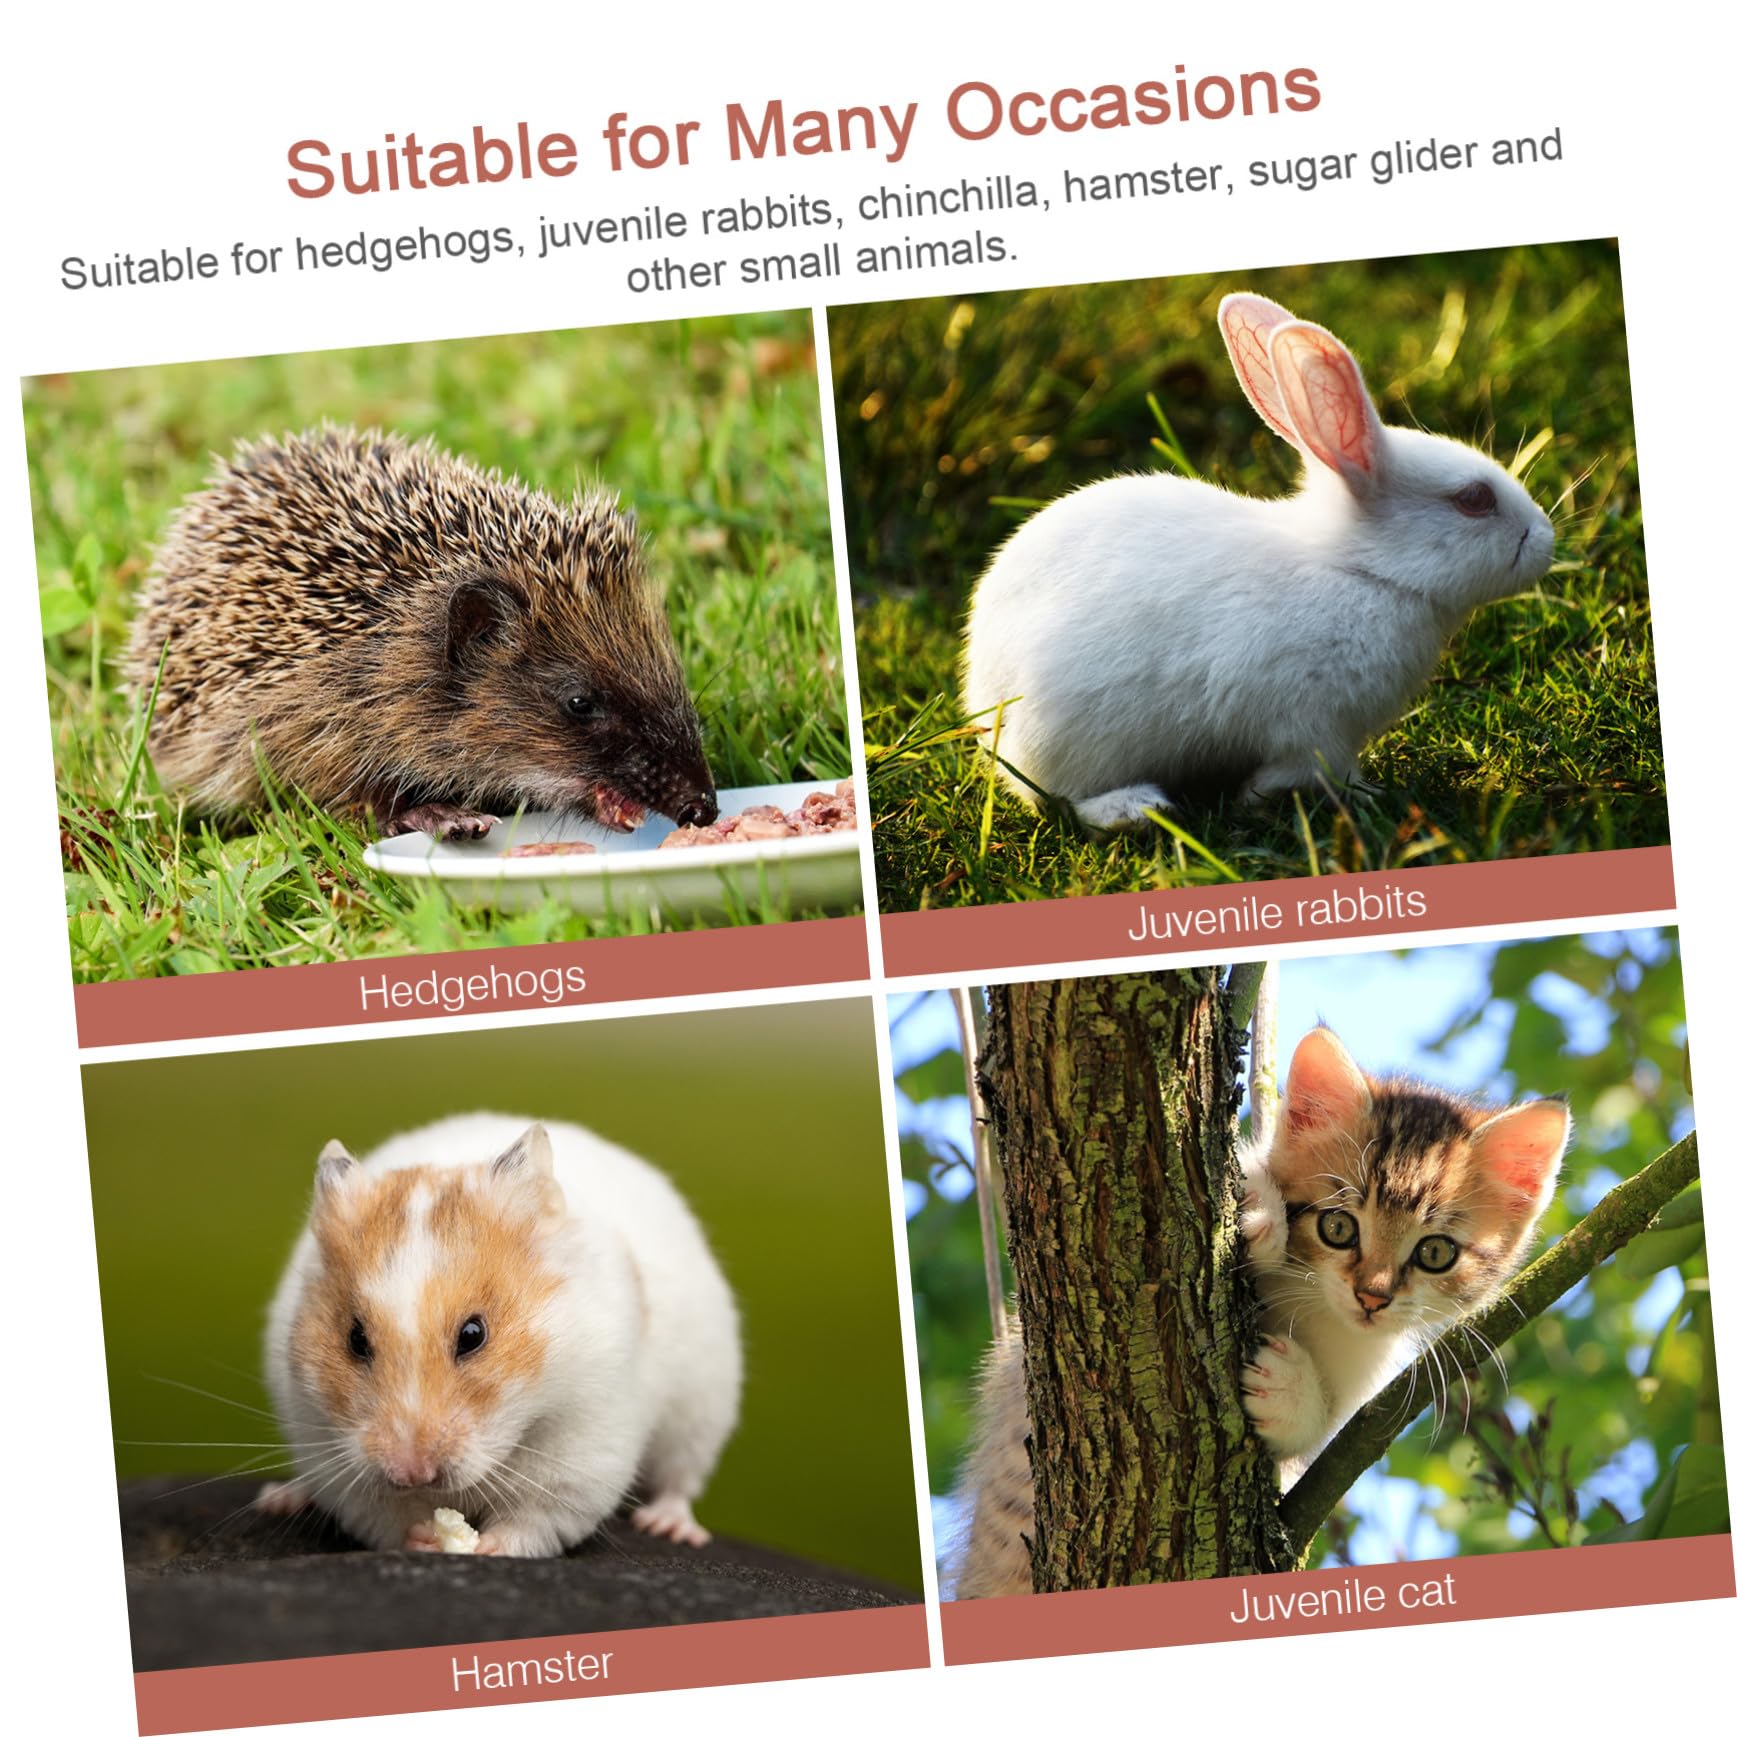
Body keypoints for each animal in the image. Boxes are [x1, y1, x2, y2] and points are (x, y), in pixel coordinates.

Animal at [257, 1112, 741, 1557]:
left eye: (474, 1334)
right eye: (355, 1339)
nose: (412, 1473)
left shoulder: (582, 1451)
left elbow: (535, 1518)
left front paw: (485, 1547)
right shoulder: (331, 1451)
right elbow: (385, 1517)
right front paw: (426, 1538)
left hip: (701, 1410)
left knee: (680, 1480)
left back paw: (669, 1526)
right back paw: (281, 1499)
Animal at [961, 293, 1558, 833]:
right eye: (1474, 499)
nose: (1547, 540)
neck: (1361, 571)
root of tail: (984, 698)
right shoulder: (1314, 727)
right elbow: (1312, 768)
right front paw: (1316, 796)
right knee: (1058, 797)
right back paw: (1136, 809)